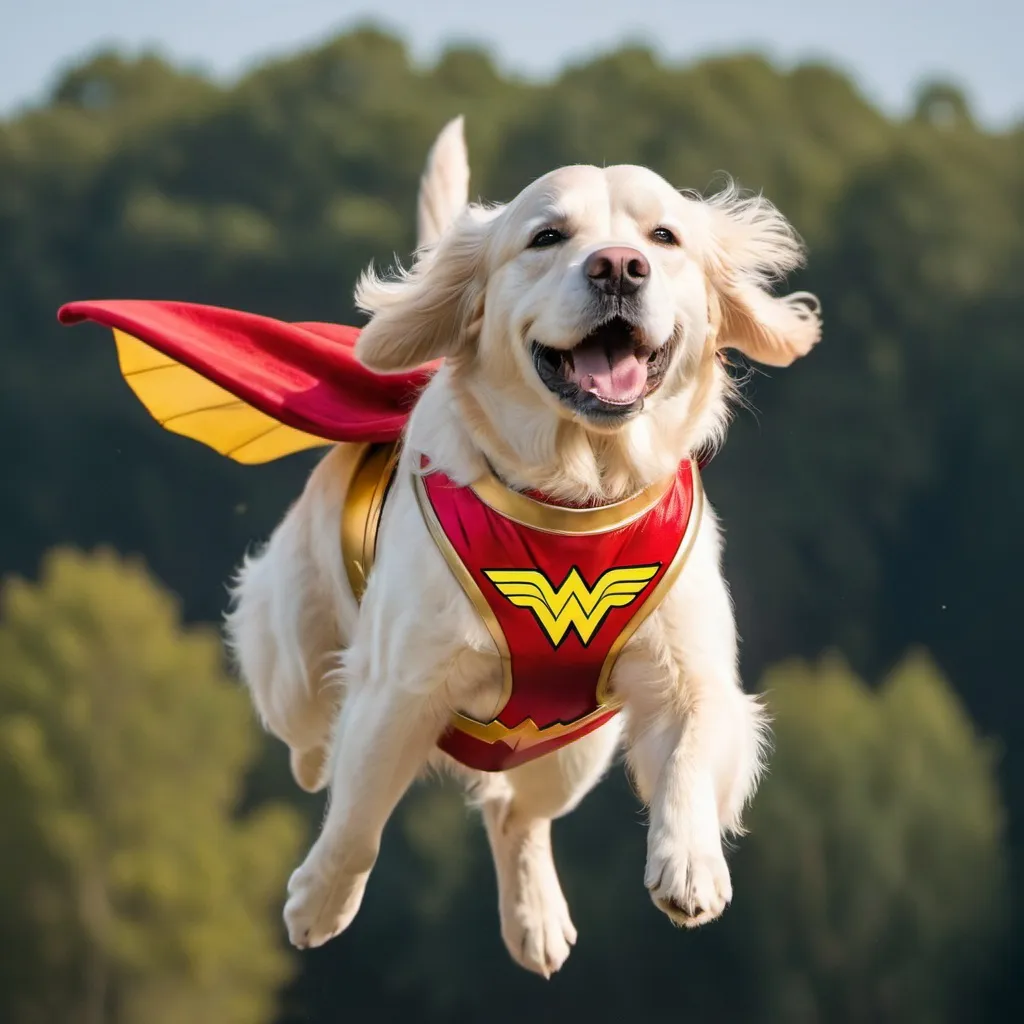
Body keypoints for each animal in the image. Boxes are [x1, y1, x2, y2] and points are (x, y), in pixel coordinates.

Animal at [228, 116, 819, 970]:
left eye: (664, 237)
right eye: (547, 237)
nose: (618, 267)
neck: (577, 488)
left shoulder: (693, 675)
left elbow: (690, 758)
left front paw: (690, 866)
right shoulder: (398, 688)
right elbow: (359, 818)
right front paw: (319, 902)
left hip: (569, 749)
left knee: (516, 813)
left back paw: (536, 918)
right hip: (296, 658)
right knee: (311, 741)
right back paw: (318, 774)